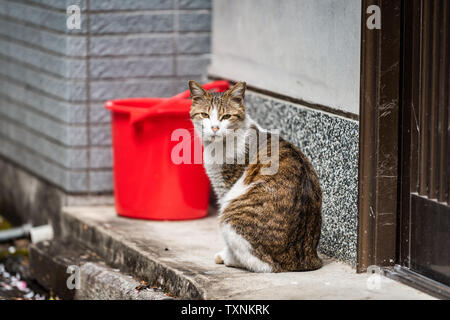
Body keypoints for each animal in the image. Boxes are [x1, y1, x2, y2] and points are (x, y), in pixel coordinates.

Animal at [188, 80, 322, 272]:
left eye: (226, 116)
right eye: (205, 115)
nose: (214, 128)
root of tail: (302, 261)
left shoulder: (225, 188)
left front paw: (225, 254)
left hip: (230, 216)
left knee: (263, 264)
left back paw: (230, 259)